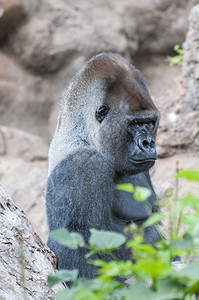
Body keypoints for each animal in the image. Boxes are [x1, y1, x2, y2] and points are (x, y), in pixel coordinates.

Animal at [45, 52, 161, 280]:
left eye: (151, 122)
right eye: (134, 124)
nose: (148, 144)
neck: (84, 135)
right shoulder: (83, 165)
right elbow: (75, 242)